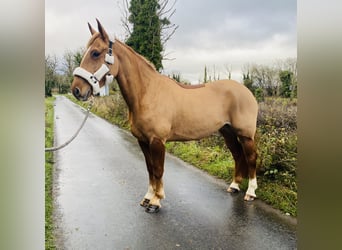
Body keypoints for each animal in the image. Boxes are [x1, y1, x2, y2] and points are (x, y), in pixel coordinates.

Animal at [71, 19, 258, 213]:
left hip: (245, 135)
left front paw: (156, 201)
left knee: (251, 158)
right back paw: (234, 186)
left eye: (95, 53)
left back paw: (250, 193)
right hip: (227, 132)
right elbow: (150, 169)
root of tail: (246, 91)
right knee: (237, 155)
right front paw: (147, 197)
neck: (147, 92)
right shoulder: (143, 140)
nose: (76, 90)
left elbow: (158, 169)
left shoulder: (157, 141)